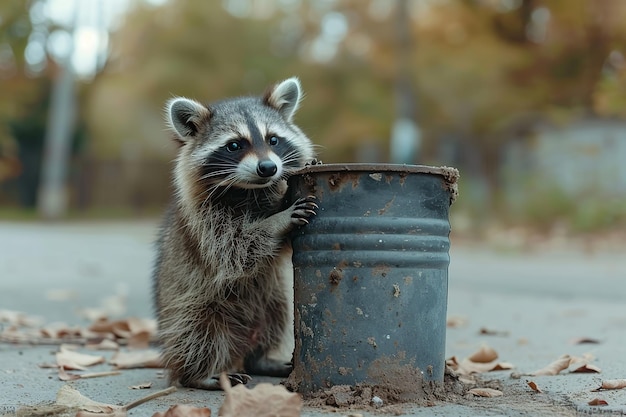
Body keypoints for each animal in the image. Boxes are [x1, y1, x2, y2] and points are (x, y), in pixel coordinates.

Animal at [152, 78, 316, 390]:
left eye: (273, 140)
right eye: (235, 145)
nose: (268, 168)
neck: (250, 190)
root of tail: (240, 344)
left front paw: (283, 196)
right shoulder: (204, 220)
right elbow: (236, 250)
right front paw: (278, 221)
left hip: (271, 298)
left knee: (278, 315)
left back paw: (260, 358)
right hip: (190, 305)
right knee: (197, 332)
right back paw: (198, 374)